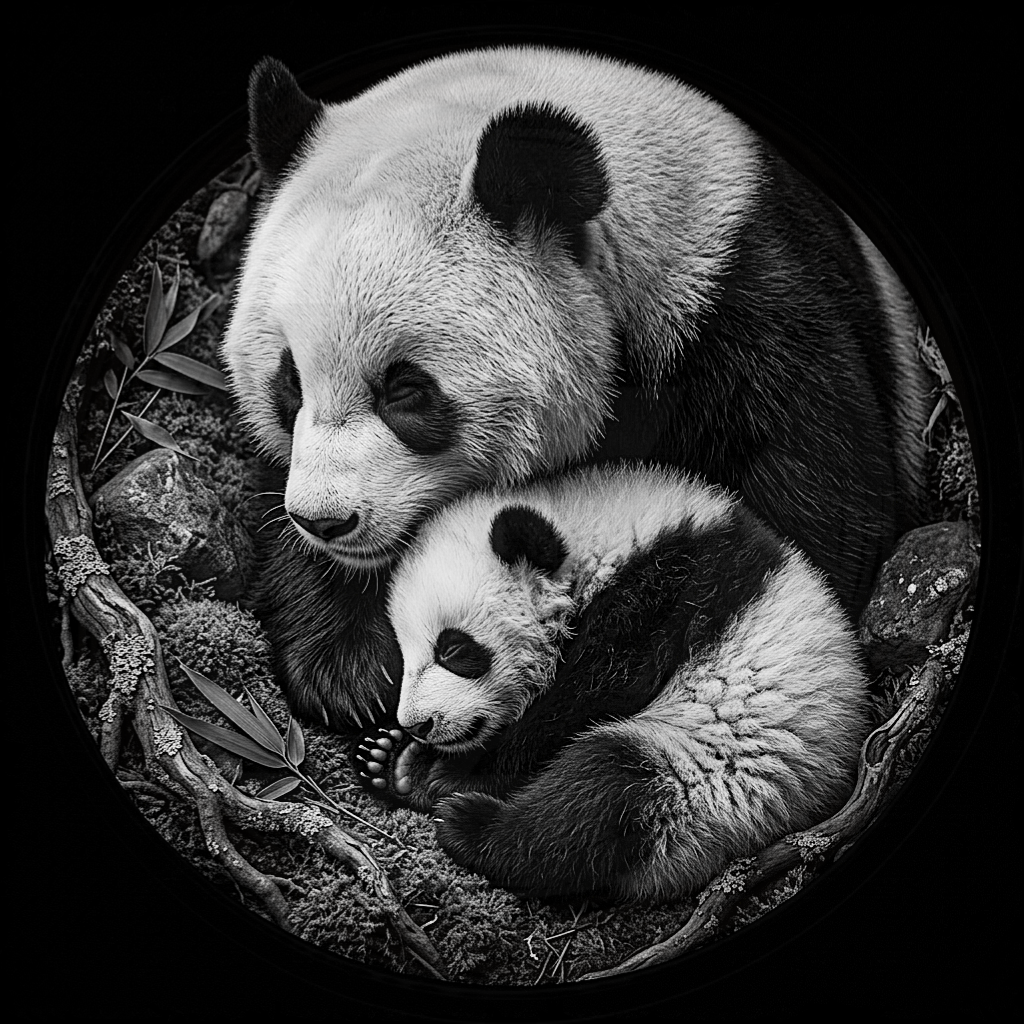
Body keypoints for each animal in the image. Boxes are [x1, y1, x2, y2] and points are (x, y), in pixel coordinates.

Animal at [222, 46, 930, 734]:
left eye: (406, 392)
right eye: (289, 383)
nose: (325, 520)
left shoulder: (742, 302)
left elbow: (811, 503)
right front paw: (348, 672)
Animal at [353, 464, 871, 900]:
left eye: (453, 650)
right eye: (402, 653)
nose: (417, 724)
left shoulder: (665, 590)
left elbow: (594, 692)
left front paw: (452, 772)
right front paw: (398, 756)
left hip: (722, 773)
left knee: (603, 796)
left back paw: (472, 824)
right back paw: (397, 769)